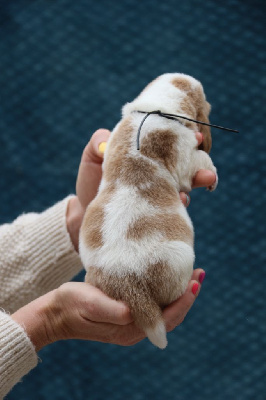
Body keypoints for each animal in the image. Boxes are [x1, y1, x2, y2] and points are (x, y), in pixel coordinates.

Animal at [79, 73, 218, 348]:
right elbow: (204, 161)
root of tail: (127, 282)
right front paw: (213, 177)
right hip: (181, 259)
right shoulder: (187, 156)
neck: (157, 109)